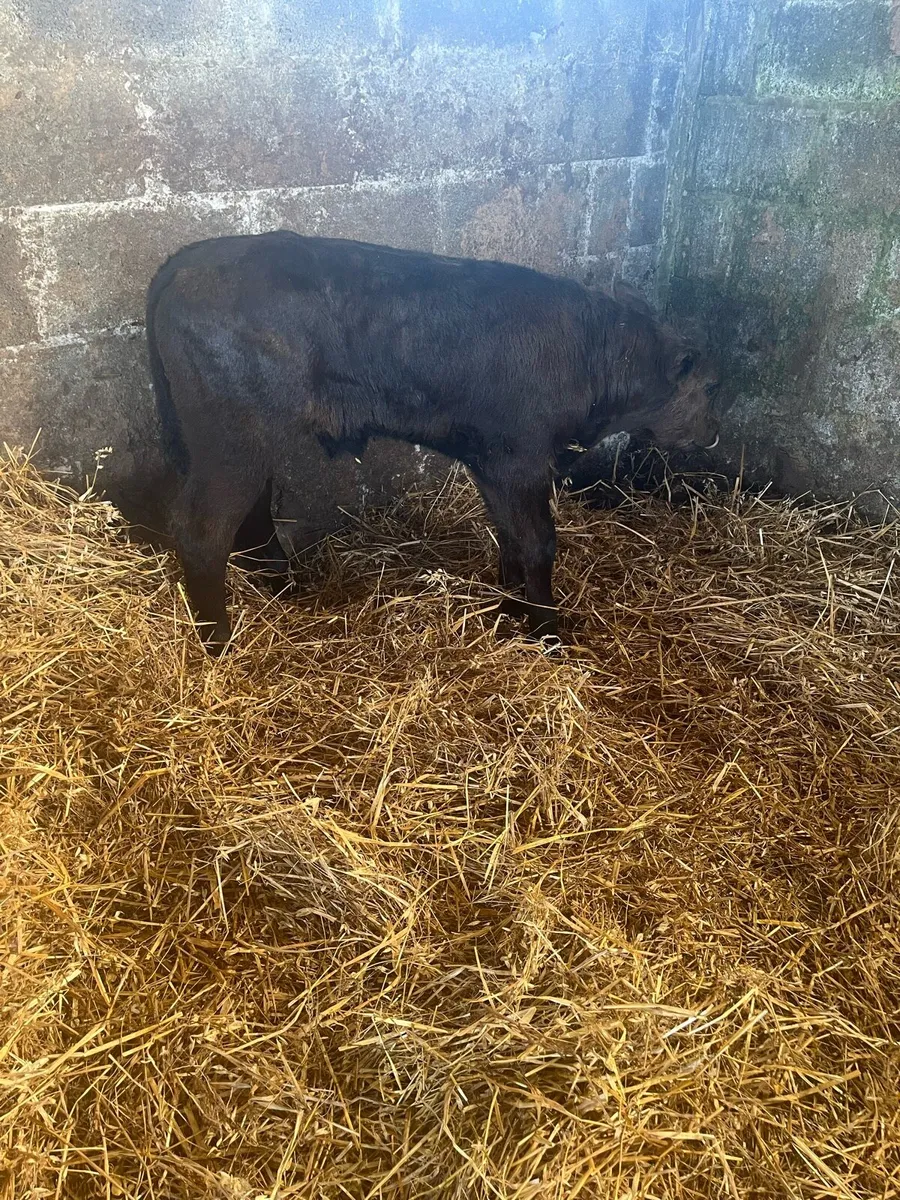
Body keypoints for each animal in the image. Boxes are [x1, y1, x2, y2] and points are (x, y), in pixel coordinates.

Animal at [145, 232, 718, 653]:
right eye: (707, 387)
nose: (713, 436)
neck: (590, 352)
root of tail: (186, 263)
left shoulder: (493, 462)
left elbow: (509, 535)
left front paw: (510, 605)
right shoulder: (522, 459)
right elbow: (538, 541)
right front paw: (548, 634)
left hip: (246, 438)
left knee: (255, 511)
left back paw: (285, 587)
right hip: (232, 436)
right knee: (202, 528)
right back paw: (218, 641)